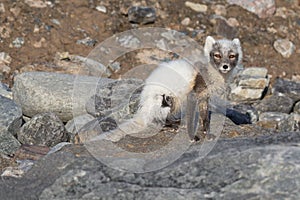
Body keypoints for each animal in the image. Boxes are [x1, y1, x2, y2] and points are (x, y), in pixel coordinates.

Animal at [97, 36, 243, 142]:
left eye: (232, 56)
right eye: (217, 55)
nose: (225, 66)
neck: (213, 76)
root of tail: (143, 107)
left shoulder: (204, 98)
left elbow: (205, 118)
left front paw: (208, 134)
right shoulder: (193, 95)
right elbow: (192, 119)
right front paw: (193, 137)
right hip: (165, 99)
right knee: (159, 121)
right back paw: (175, 125)